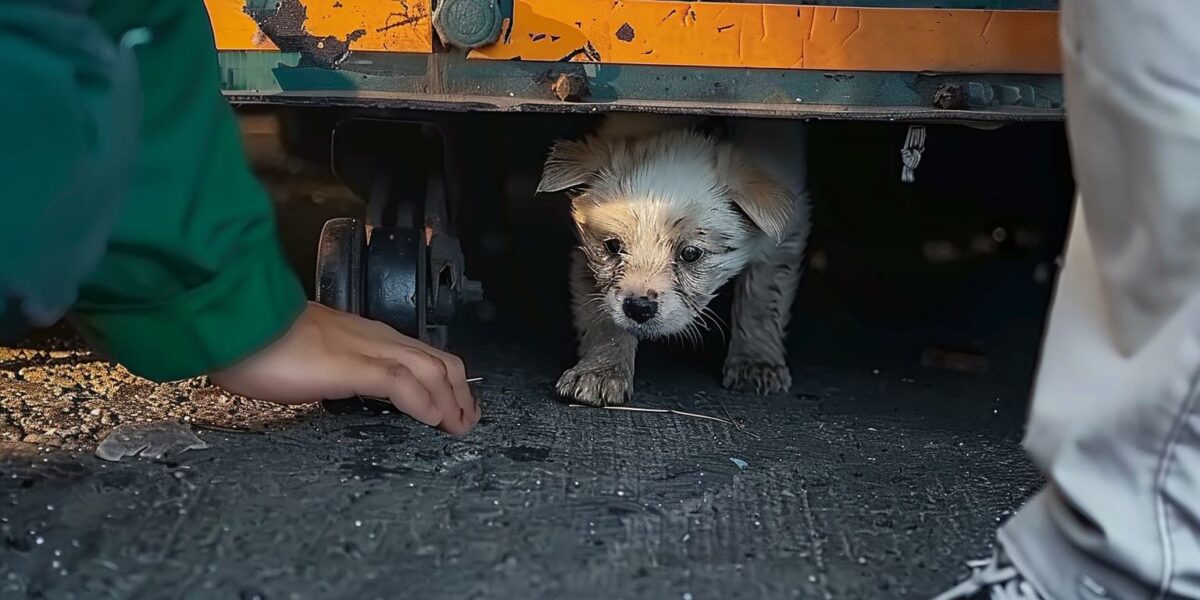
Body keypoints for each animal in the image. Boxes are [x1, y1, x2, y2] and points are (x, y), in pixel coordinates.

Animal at [540, 113, 811, 403]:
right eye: (613, 246)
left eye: (691, 254)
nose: (639, 308)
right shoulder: (588, 262)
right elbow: (605, 322)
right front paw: (600, 372)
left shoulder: (781, 240)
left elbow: (760, 301)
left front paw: (755, 363)